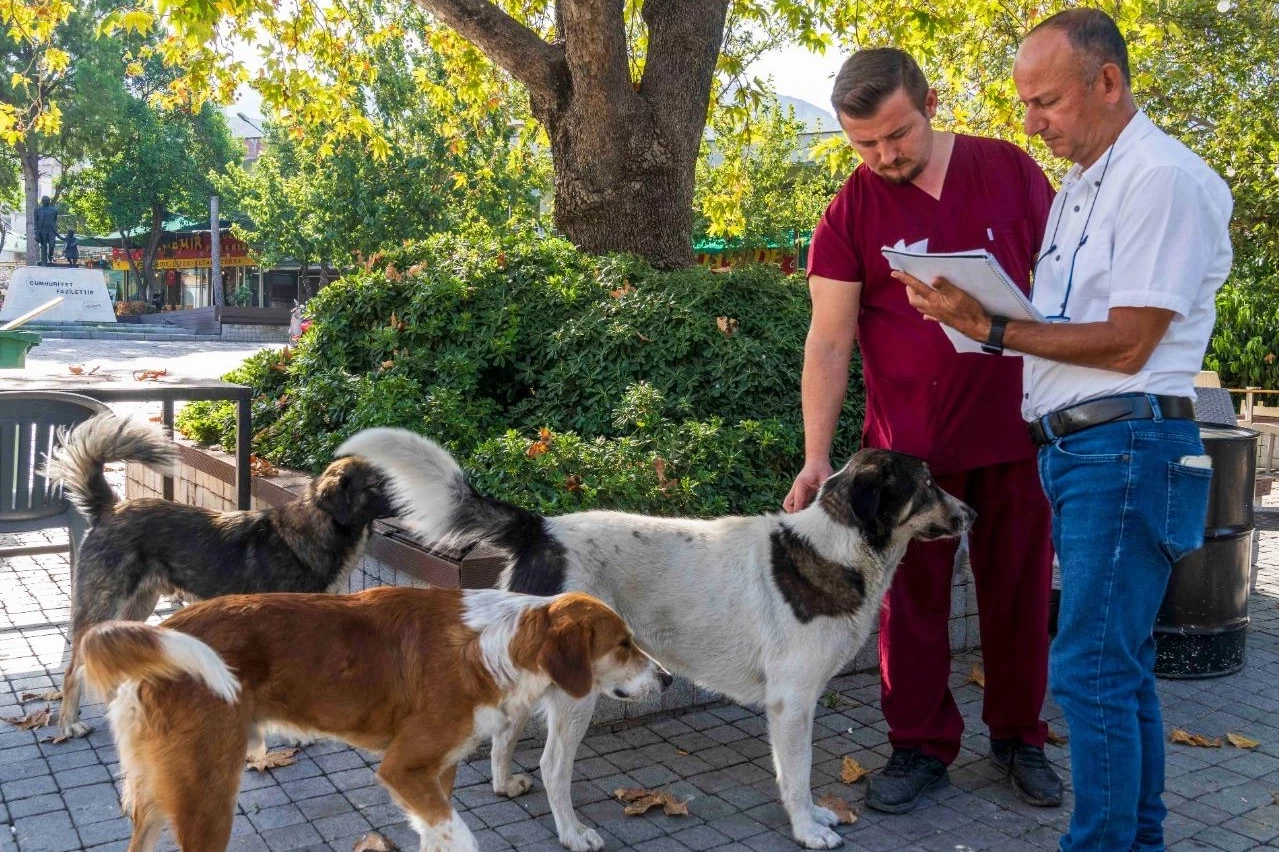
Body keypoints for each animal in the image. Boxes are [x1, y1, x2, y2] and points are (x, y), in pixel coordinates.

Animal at [78, 583, 665, 849]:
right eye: (624, 644)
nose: (666, 680)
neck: (496, 646)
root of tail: (163, 630)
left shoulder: (434, 774)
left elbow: (438, 835)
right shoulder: (402, 768)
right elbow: (463, 838)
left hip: (162, 797)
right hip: (206, 796)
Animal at [335, 427, 972, 844]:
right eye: (928, 483)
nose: (970, 514)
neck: (836, 548)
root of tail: (542, 527)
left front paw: (815, 818)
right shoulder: (792, 706)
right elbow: (799, 776)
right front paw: (808, 828)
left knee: (504, 736)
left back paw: (502, 785)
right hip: (577, 695)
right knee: (553, 766)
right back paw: (572, 832)